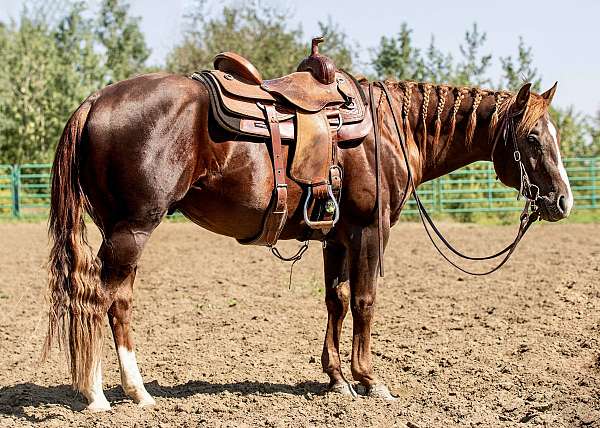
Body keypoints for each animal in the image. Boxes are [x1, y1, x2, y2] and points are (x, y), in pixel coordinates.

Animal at [42, 67, 572, 412]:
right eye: (532, 139)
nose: (563, 200)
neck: (390, 130)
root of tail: (95, 102)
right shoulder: (369, 231)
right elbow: (364, 300)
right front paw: (369, 381)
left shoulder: (335, 238)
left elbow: (335, 300)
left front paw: (336, 379)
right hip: (132, 228)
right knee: (102, 301)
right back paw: (104, 395)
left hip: (120, 229)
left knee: (111, 303)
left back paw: (129, 391)